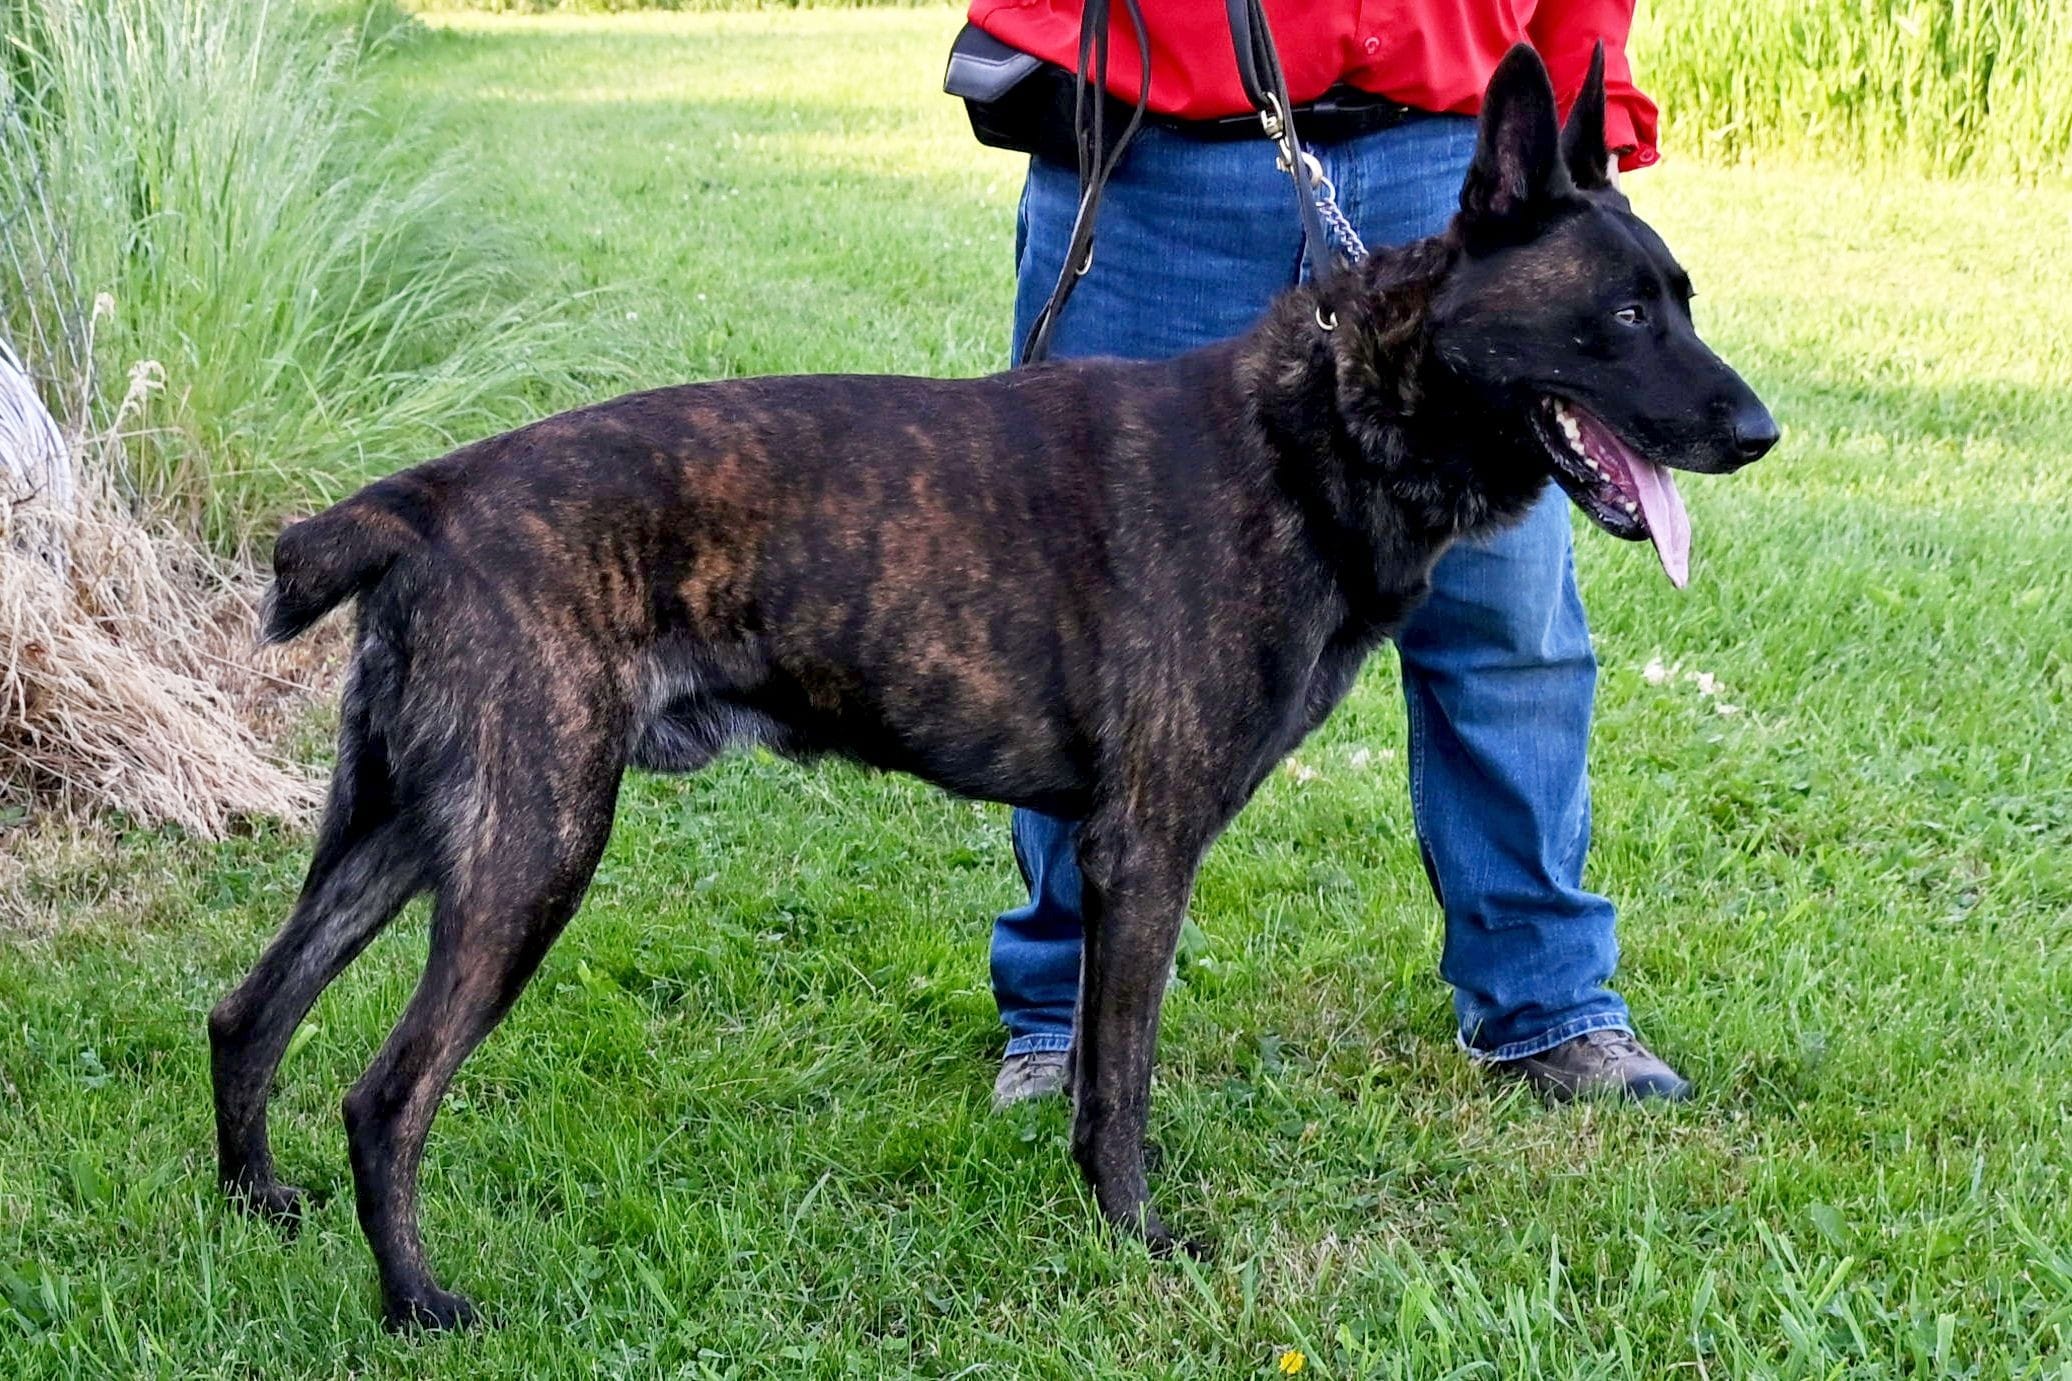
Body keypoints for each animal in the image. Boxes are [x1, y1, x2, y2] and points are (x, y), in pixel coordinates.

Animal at [210, 45, 1781, 1325]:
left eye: (1681, 301)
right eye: (1623, 317)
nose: (1761, 431)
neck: (1318, 426)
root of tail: (429, 502)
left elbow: (1094, 1068)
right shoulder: (1146, 847)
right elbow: (1121, 1077)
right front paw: (1137, 1238)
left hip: (406, 828)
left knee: (247, 1011)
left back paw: (252, 1210)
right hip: (530, 848)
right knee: (385, 1092)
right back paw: (416, 1303)